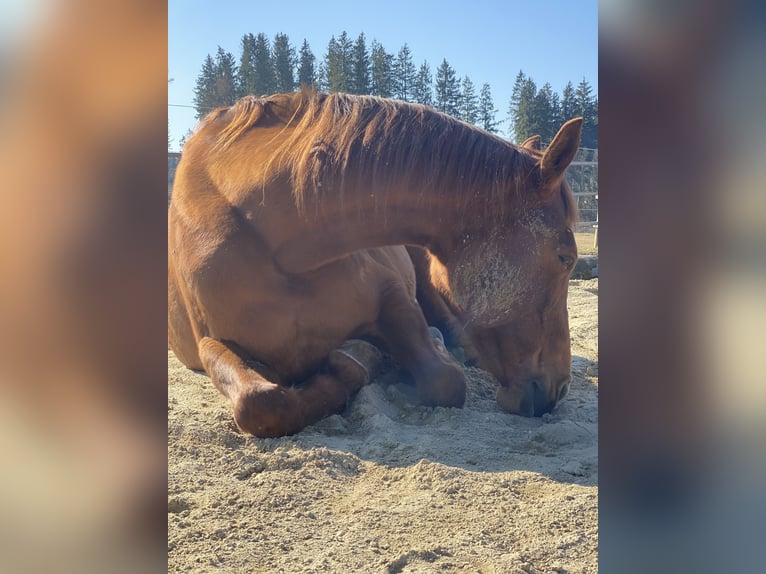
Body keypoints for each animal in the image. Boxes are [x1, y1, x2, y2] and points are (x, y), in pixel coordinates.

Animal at [170, 90, 584, 438]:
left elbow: (443, 380)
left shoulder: (394, 297)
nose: (561, 388)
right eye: (566, 257)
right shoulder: (212, 341)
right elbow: (260, 404)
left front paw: (367, 357)